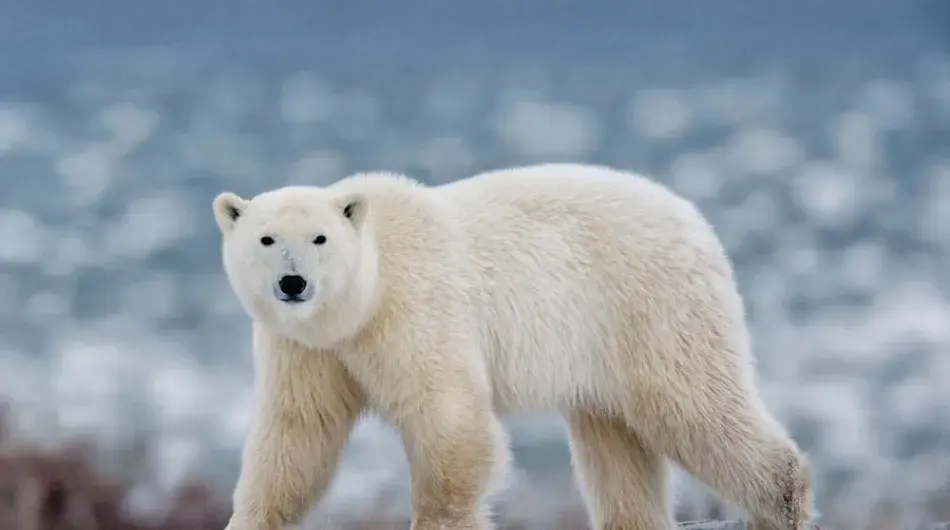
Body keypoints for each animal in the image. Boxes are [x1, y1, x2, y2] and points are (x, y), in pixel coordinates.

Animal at [212, 163, 814, 530]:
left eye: (320, 238)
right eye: (267, 238)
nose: (294, 283)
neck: (362, 302)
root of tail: (694, 219)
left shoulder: (416, 312)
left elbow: (451, 422)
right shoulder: (306, 348)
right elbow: (298, 433)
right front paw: (250, 516)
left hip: (651, 308)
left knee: (692, 406)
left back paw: (781, 503)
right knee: (614, 444)